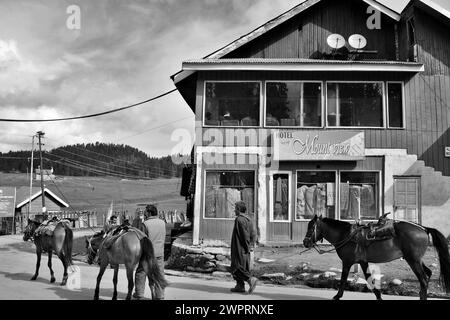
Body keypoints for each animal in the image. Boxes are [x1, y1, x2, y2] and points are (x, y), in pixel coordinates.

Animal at [302, 215, 450, 300]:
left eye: (311, 227)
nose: (305, 242)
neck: (346, 235)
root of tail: (423, 228)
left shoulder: (347, 262)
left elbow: (343, 279)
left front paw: (337, 296)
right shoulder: (362, 262)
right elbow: (370, 280)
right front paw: (379, 297)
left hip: (413, 260)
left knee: (423, 279)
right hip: (416, 260)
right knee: (428, 274)